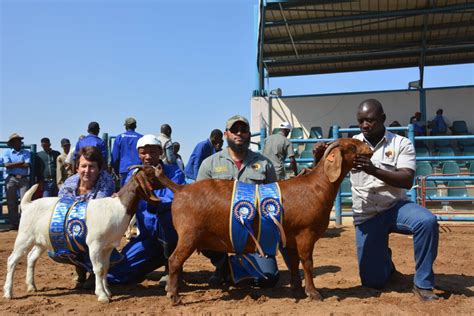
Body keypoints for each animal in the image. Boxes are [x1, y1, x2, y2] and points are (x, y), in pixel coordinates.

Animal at [3, 164, 163, 302]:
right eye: (151, 174)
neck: (118, 207)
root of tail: (27, 205)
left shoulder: (108, 247)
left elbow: (105, 268)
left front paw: (107, 291)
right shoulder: (95, 244)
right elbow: (98, 269)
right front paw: (102, 296)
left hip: (42, 241)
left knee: (31, 258)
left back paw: (31, 286)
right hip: (24, 238)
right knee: (12, 260)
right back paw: (8, 293)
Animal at [159, 138, 374, 304]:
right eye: (352, 146)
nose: (369, 148)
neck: (317, 186)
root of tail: (180, 189)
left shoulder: (290, 238)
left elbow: (293, 263)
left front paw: (297, 290)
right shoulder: (306, 233)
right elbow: (307, 263)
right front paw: (314, 293)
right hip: (189, 234)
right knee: (174, 260)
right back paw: (174, 296)